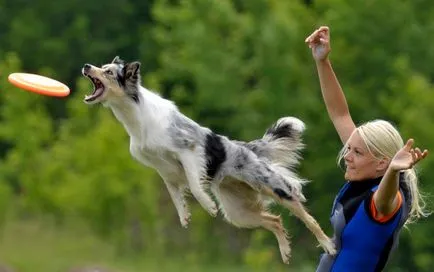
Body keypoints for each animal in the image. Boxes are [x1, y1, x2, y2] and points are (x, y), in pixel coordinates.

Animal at [81, 56, 336, 262]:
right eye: (101, 67)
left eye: (108, 72)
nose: (86, 66)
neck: (136, 117)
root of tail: (247, 148)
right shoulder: (163, 169)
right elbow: (175, 195)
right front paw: (184, 216)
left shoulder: (189, 151)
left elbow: (194, 185)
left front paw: (208, 205)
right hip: (238, 213)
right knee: (275, 220)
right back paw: (285, 251)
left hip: (273, 187)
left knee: (307, 217)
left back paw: (328, 246)